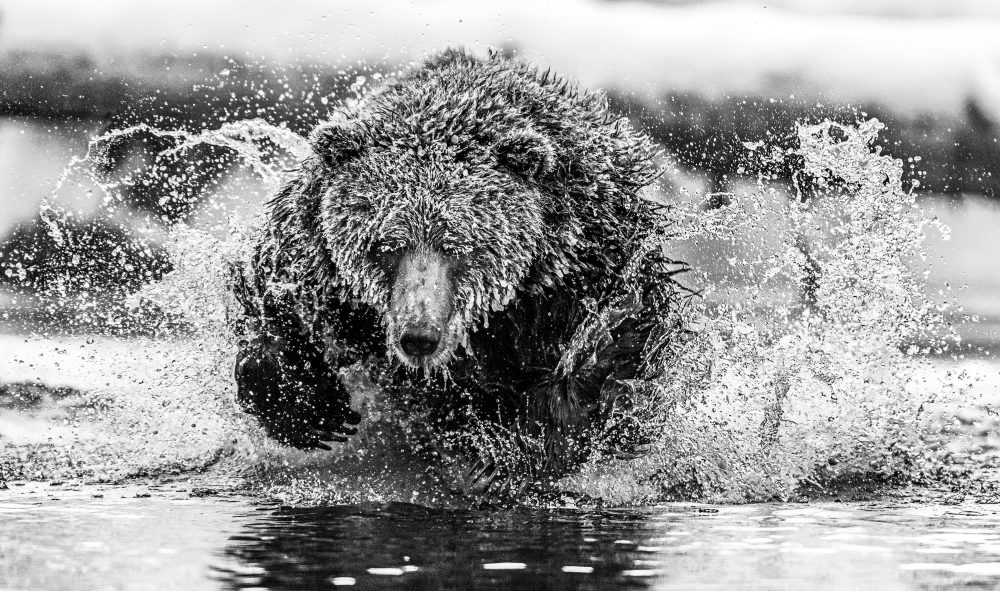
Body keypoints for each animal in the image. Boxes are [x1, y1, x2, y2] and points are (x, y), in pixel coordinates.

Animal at [231, 48, 690, 496]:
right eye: (384, 245)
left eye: (459, 245)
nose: (418, 336)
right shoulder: (317, 262)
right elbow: (271, 298)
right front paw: (316, 410)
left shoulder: (585, 263)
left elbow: (615, 347)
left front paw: (522, 445)